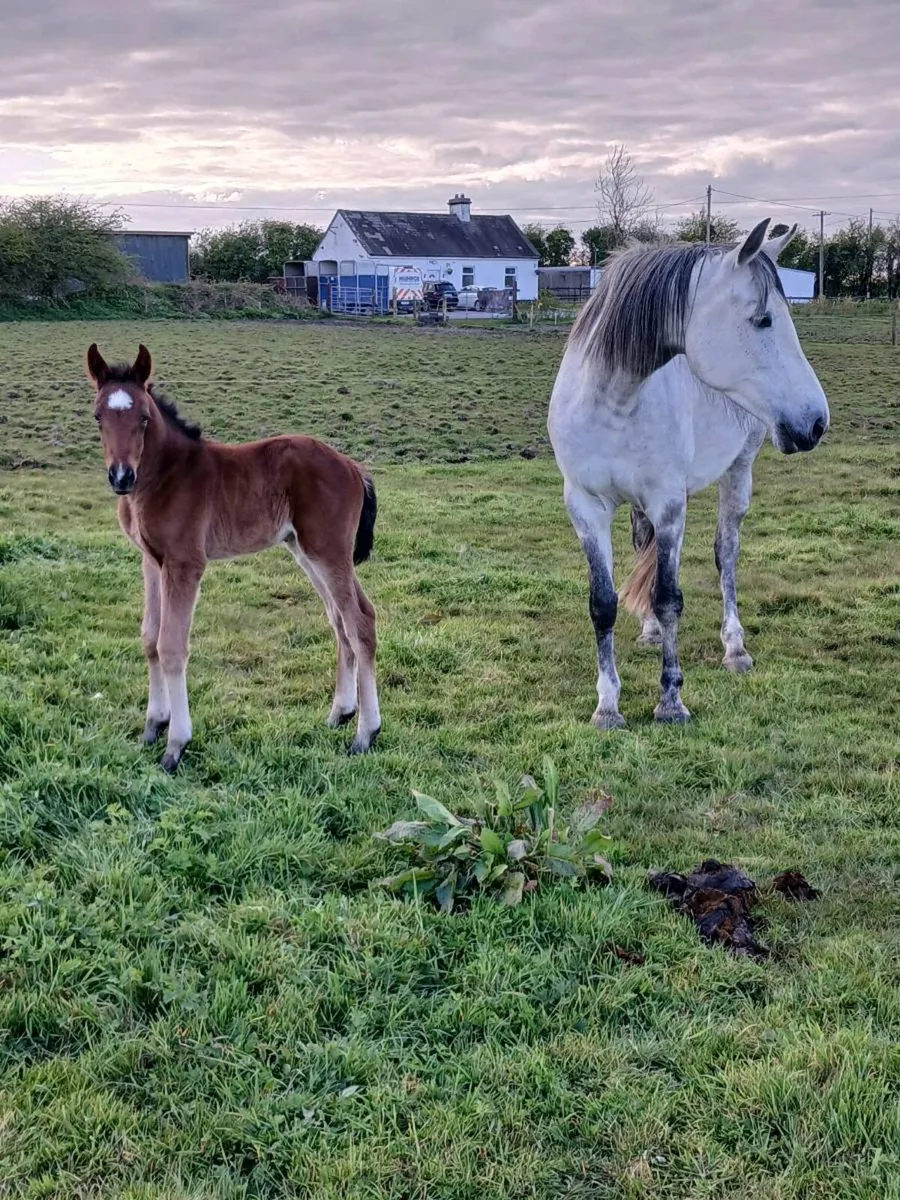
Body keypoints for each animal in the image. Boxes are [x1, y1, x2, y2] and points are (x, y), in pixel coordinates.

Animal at [87, 343, 381, 772]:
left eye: (143, 417)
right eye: (98, 417)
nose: (121, 477)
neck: (164, 476)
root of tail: (353, 466)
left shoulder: (185, 563)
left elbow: (172, 645)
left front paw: (176, 745)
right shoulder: (152, 562)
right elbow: (149, 638)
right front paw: (153, 726)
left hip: (327, 551)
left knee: (359, 622)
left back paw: (365, 734)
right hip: (306, 551)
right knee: (341, 620)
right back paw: (339, 713)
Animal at [547, 218, 829, 729]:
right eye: (763, 319)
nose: (816, 422)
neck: (615, 399)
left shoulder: (669, 503)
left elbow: (668, 596)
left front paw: (671, 700)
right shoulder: (585, 505)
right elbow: (603, 603)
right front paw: (607, 706)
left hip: (738, 472)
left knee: (727, 554)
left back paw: (734, 648)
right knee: (644, 548)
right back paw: (650, 633)